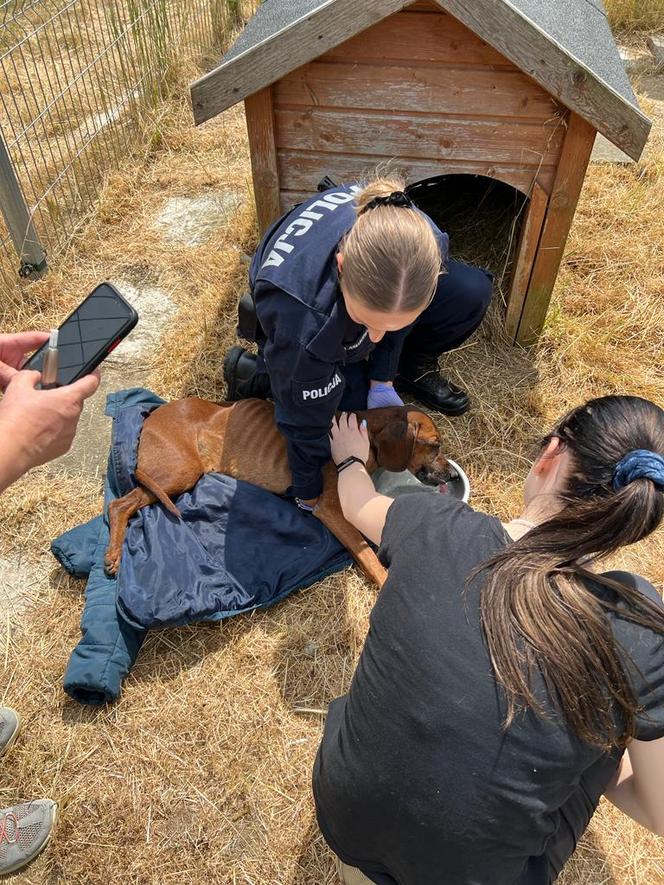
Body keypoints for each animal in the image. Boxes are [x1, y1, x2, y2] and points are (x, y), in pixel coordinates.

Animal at [105, 400, 456, 588]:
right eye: (434, 445)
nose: (451, 474)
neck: (365, 434)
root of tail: (152, 415)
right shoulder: (330, 509)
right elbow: (367, 554)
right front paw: (384, 583)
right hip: (181, 471)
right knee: (120, 504)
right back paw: (113, 555)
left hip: (168, 479)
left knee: (123, 504)